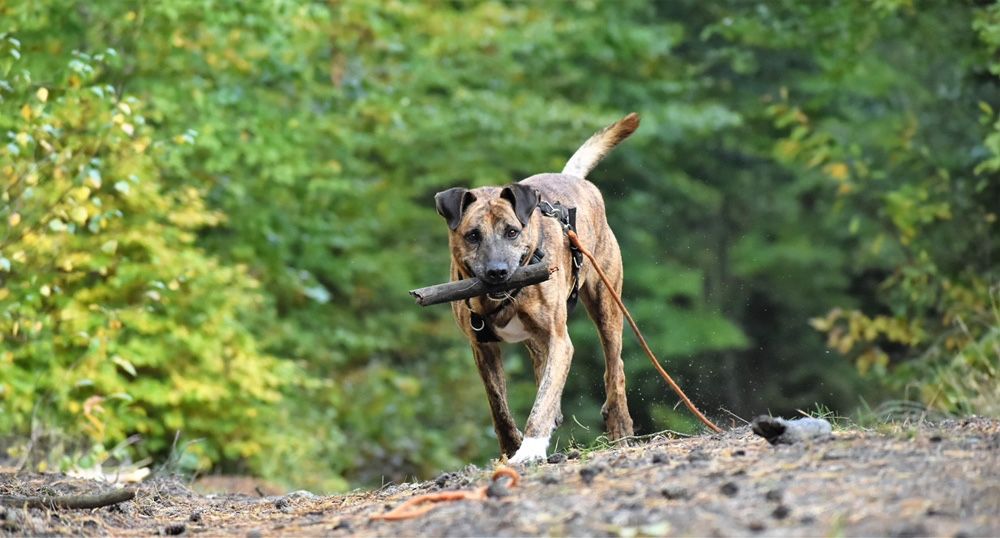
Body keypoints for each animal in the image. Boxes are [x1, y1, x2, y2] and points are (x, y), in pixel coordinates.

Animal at [432, 112, 640, 460]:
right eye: (473, 235)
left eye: (512, 232)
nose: (498, 272)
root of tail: (576, 180)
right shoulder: (482, 348)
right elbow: (499, 407)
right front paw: (511, 447)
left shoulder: (560, 340)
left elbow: (542, 401)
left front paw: (529, 449)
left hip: (606, 305)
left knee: (615, 368)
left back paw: (620, 426)